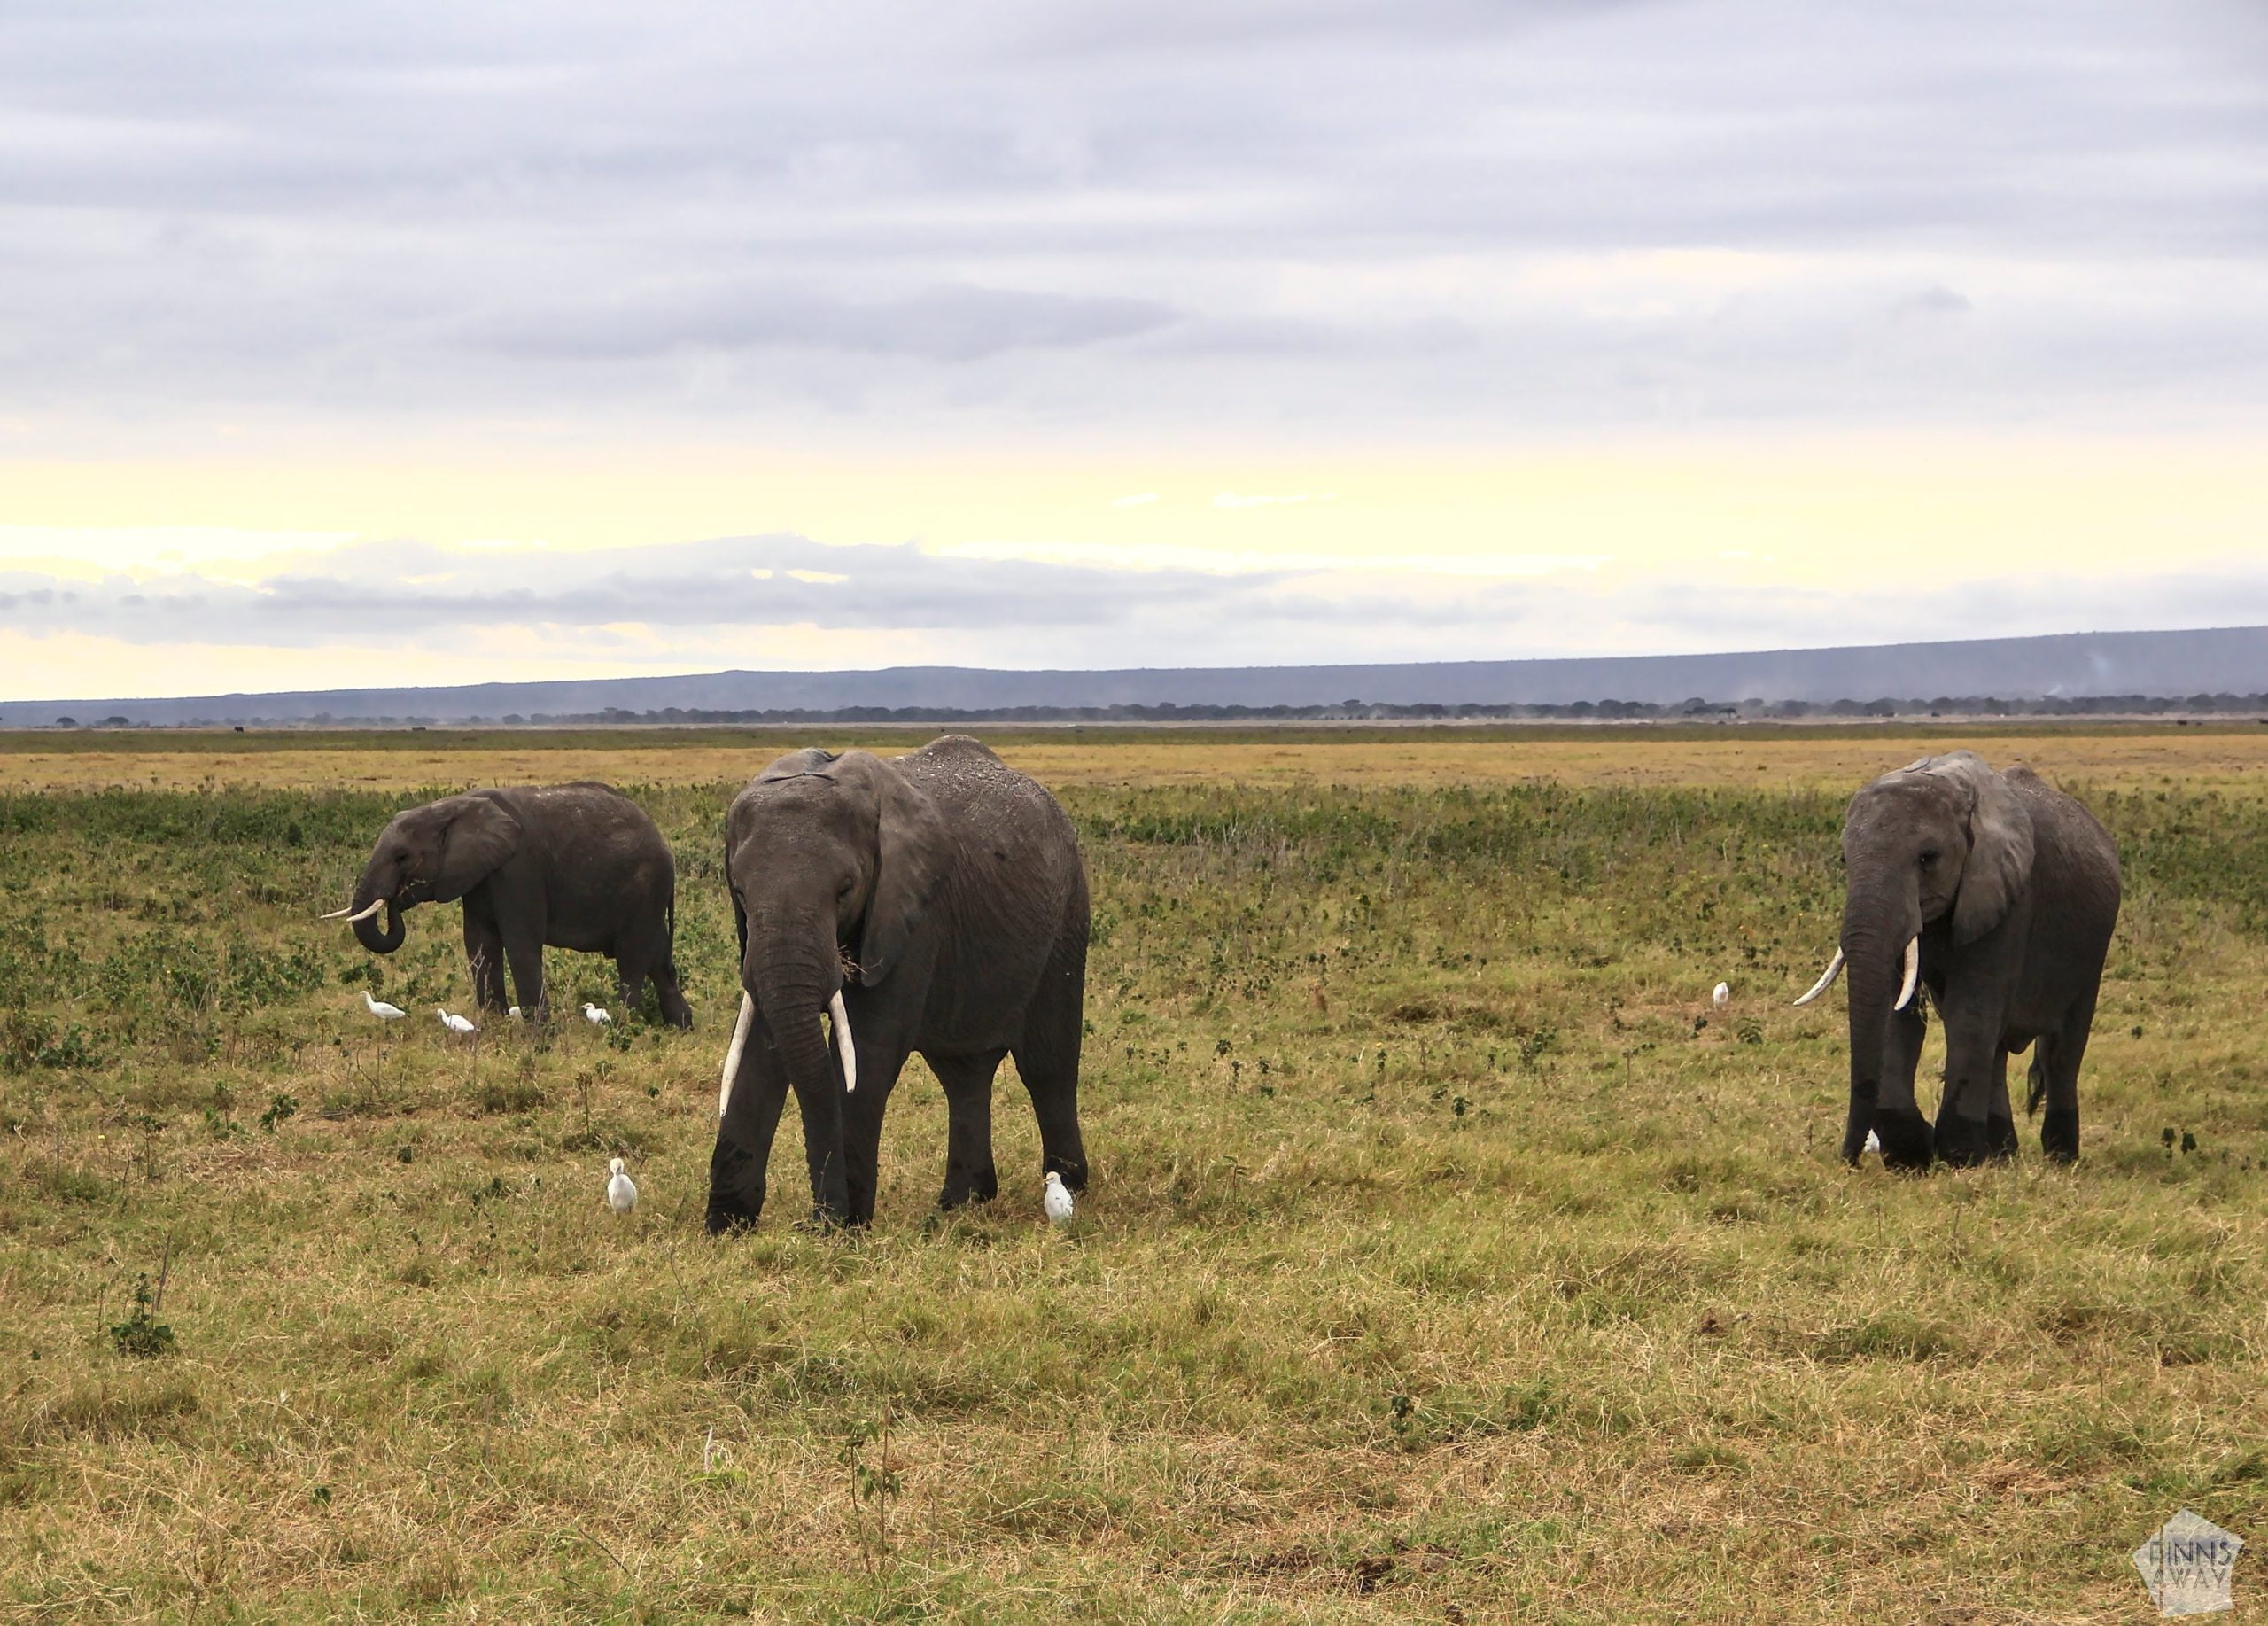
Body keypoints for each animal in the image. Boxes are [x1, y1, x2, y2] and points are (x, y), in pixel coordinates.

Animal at [327, 782, 692, 1029]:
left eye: (402, 856)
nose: (398, 897)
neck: (452, 807)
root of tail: (665, 847)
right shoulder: (478, 873)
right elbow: (479, 942)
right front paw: (495, 1026)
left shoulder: (519, 870)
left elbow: (520, 943)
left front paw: (538, 1035)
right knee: (660, 960)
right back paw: (680, 1027)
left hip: (644, 886)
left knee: (632, 959)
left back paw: (624, 1026)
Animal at [706, 735, 1088, 1232]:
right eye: (739, 893)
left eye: (845, 889)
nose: (815, 1222)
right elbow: (759, 1044)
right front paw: (725, 1228)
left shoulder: (913, 912)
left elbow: (869, 1048)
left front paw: (843, 1228)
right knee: (963, 1073)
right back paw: (963, 1201)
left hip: (1067, 915)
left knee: (1047, 1064)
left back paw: (1070, 1185)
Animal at [1793, 750, 2119, 1168]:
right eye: (1844, 860)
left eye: (1927, 858)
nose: (1850, 1159)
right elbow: (1897, 1013)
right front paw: (1913, 1153)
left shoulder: (2009, 898)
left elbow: (1970, 1014)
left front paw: (1956, 1157)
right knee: (1998, 1049)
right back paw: (2002, 1155)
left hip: (2091, 951)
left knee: (2061, 1052)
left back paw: (2059, 1159)